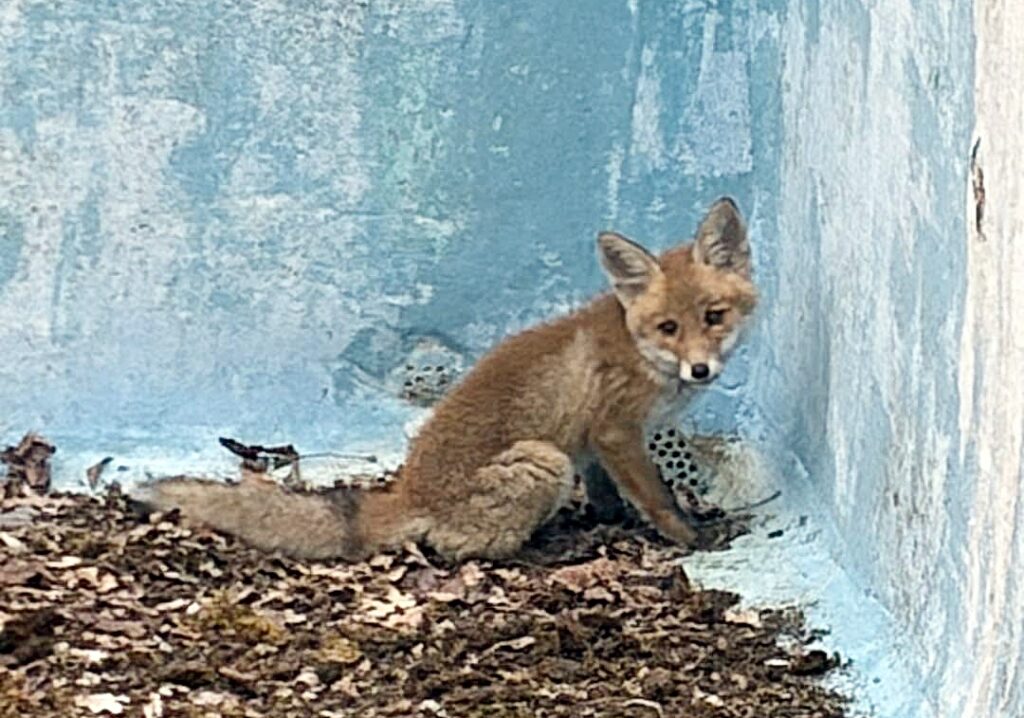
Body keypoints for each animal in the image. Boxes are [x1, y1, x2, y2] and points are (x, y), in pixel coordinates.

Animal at [136, 197, 757, 562]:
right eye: (669, 327)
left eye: (714, 317)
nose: (701, 369)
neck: (640, 350)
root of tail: (406, 491)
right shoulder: (616, 430)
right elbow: (657, 497)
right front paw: (688, 537)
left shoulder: (591, 443)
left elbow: (608, 492)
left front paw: (610, 519)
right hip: (543, 461)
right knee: (461, 548)